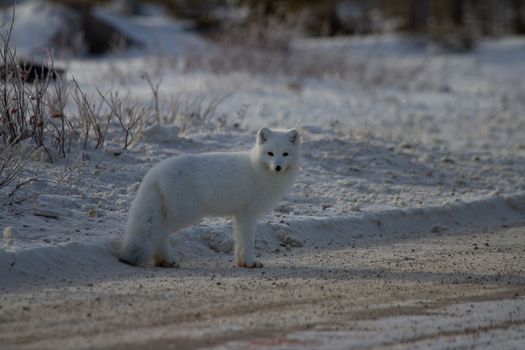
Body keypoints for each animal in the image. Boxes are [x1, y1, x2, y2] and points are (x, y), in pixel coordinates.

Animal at [119, 128, 298, 268]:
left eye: (285, 154)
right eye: (270, 153)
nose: (278, 167)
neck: (257, 169)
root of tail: (155, 171)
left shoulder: (240, 215)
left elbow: (240, 241)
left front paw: (242, 263)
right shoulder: (248, 214)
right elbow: (248, 241)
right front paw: (250, 262)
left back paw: (162, 261)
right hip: (186, 213)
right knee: (161, 232)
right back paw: (168, 260)